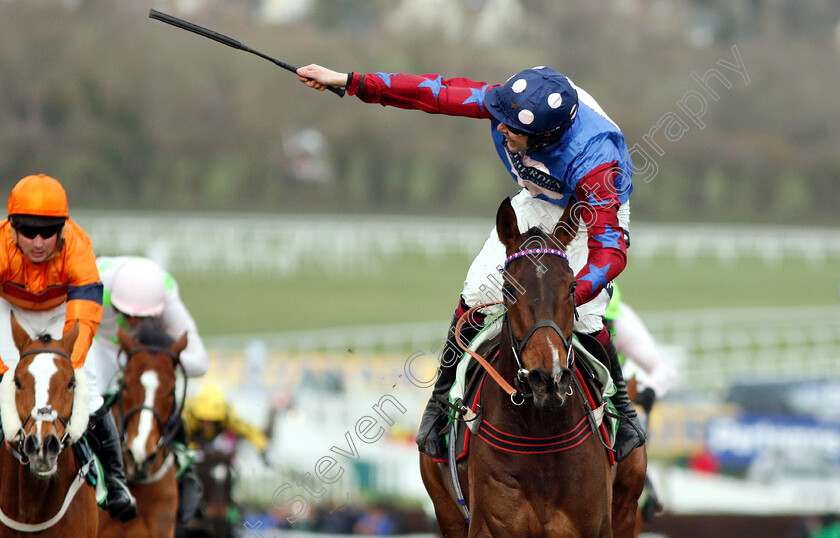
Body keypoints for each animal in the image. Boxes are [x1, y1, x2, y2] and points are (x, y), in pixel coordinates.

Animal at [416, 198, 648, 536]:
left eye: (572, 287)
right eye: (509, 289)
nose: (548, 379)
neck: (540, 436)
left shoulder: (598, 525)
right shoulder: (488, 525)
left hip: (627, 505)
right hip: (446, 508)